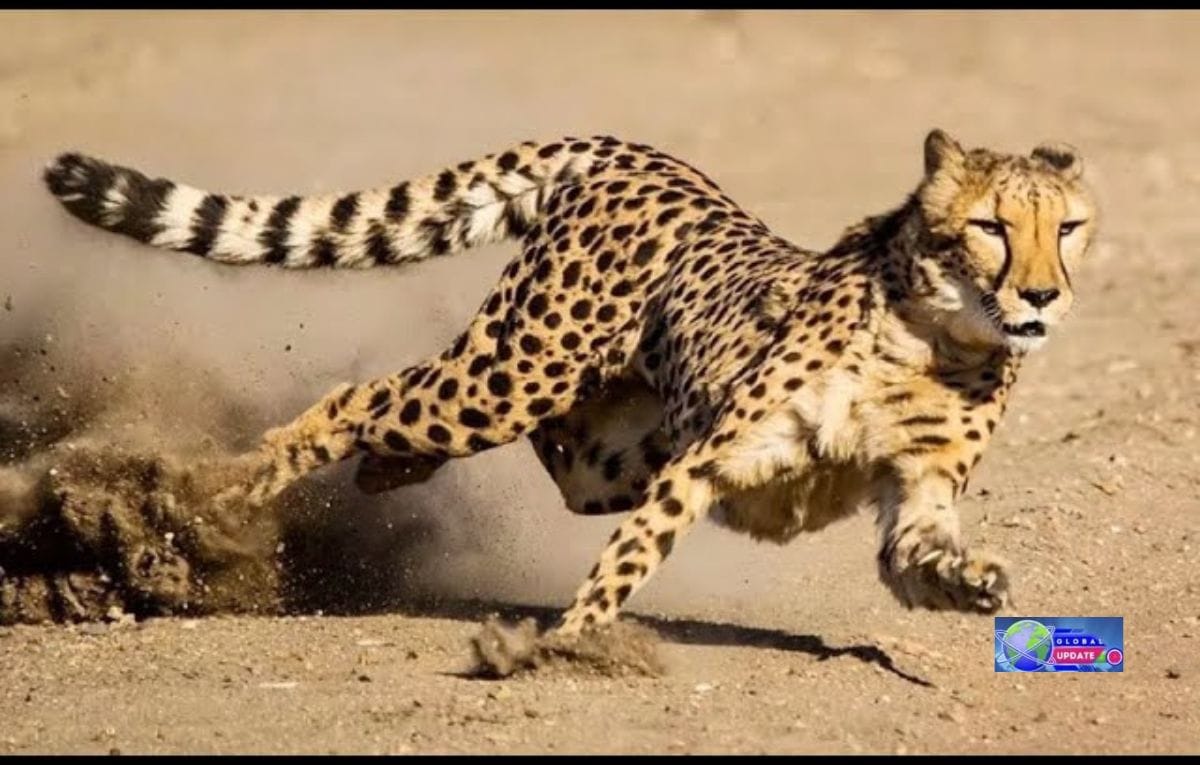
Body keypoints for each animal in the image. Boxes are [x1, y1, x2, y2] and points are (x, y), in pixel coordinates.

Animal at [42, 129, 1097, 639]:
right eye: (993, 226)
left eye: (1069, 226)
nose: (1044, 294)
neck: (938, 338)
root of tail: (632, 152)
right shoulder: (703, 462)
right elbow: (631, 561)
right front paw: (567, 643)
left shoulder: (911, 491)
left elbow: (917, 554)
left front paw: (971, 584)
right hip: (509, 378)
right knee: (361, 400)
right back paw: (205, 503)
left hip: (605, 448)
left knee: (528, 450)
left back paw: (379, 476)